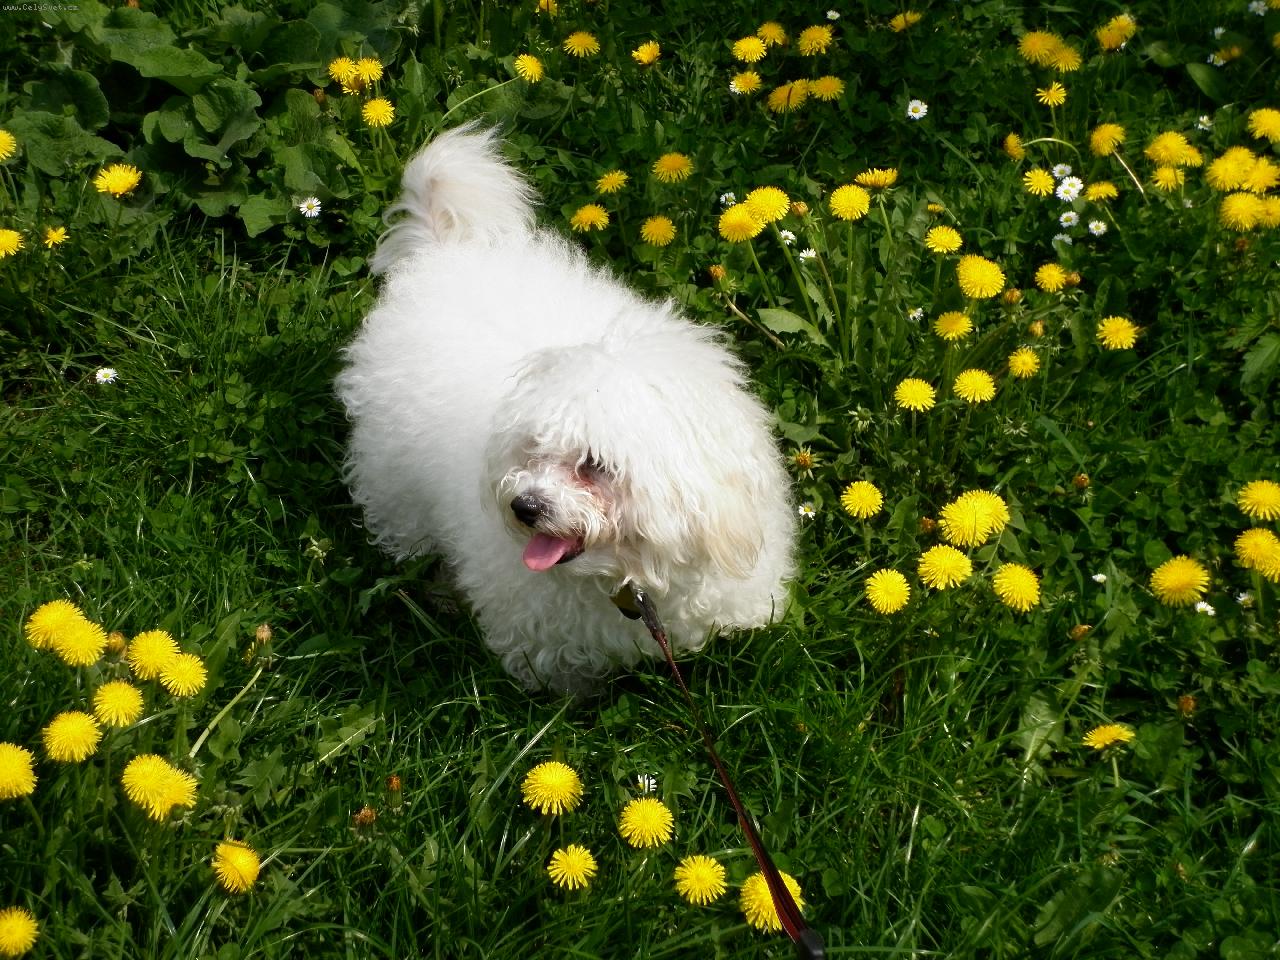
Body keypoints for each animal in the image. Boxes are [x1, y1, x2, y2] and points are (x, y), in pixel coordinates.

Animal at [335, 124, 795, 692]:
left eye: (595, 465)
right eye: (531, 449)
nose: (524, 506)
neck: (626, 583)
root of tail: (447, 252)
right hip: (393, 478)